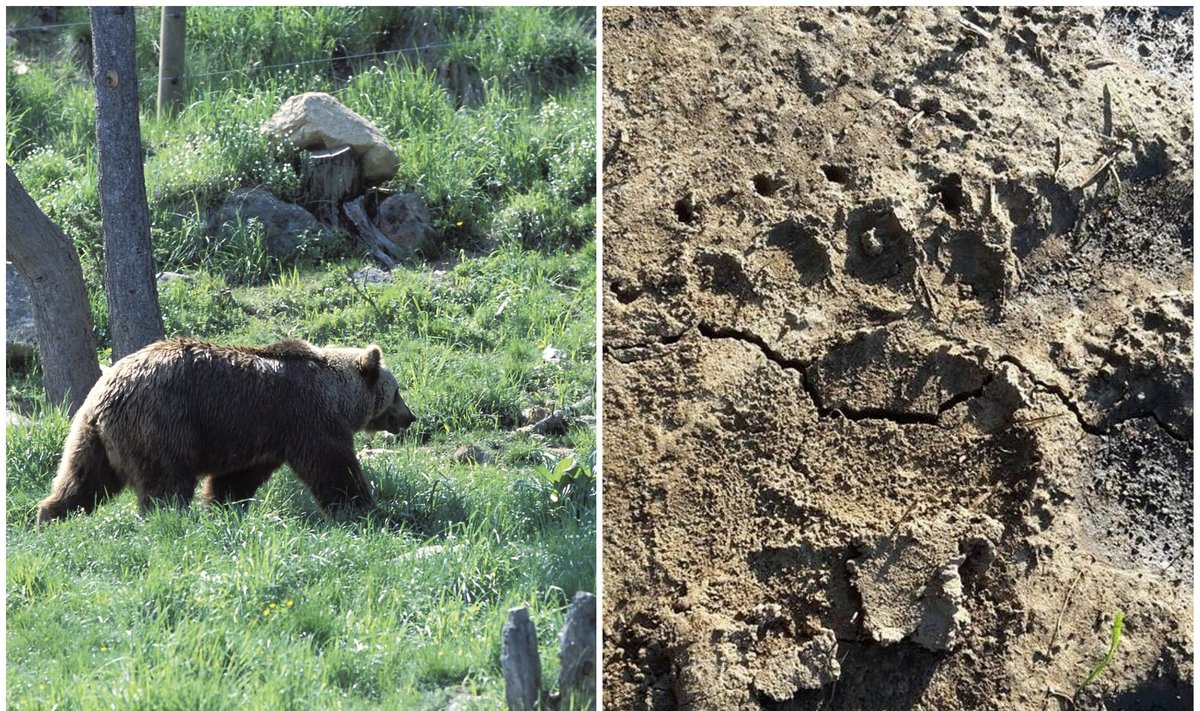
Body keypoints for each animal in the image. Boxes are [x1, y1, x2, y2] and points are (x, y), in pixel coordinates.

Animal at [36, 336, 417, 526]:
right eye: (397, 391)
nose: (410, 417)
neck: (338, 396)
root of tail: (104, 394)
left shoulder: (263, 435)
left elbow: (236, 479)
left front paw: (223, 507)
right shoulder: (307, 418)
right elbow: (333, 467)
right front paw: (364, 508)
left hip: (91, 438)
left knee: (82, 480)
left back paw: (51, 516)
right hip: (163, 423)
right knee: (166, 481)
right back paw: (166, 520)